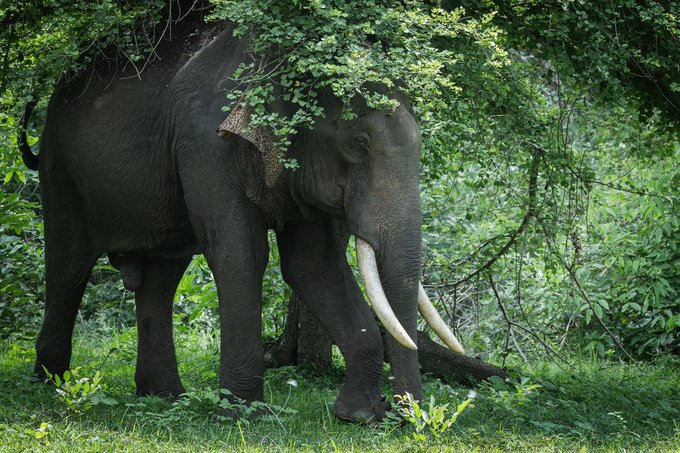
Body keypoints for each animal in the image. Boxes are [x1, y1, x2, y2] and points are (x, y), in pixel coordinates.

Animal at [20, 10, 463, 423]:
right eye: (359, 143)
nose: (409, 417)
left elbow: (313, 266)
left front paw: (359, 416)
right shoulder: (206, 144)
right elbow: (241, 256)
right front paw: (245, 414)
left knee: (161, 280)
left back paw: (165, 397)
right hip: (60, 169)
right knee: (68, 266)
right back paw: (52, 385)